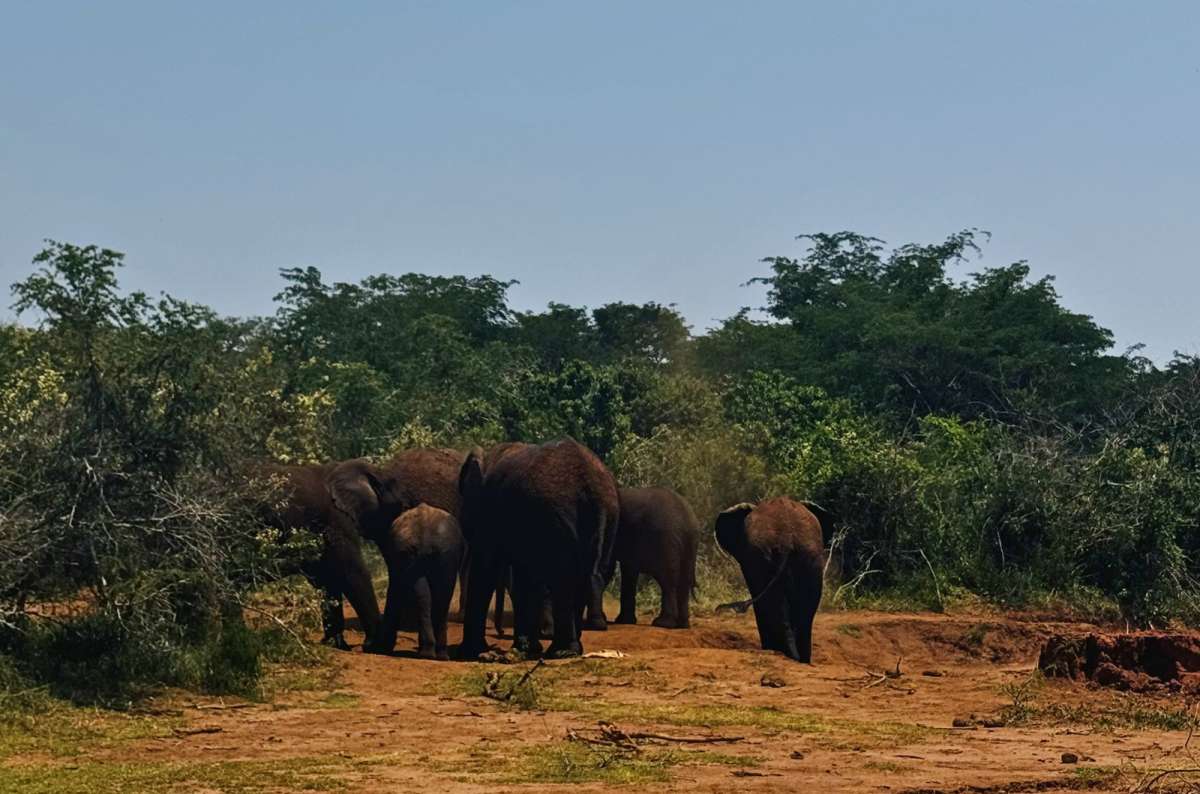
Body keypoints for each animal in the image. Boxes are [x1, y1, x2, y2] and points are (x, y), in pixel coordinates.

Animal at [373, 503, 465, 659]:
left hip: (431, 553)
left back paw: (433, 654)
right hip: (436, 553)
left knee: (434, 596)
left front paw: (382, 649)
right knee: (437, 597)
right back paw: (434, 654)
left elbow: (395, 590)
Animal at [457, 438, 619, 660]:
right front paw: (526, 650)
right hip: (608, 519)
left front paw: (471, 652)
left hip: (555, 514)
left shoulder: (489, 515)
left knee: (564, 578)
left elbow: (486, 569)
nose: (499, 634)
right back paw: (568, 651)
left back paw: (561, 652)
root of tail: (593, 486)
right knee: (588, 575)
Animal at [611, 486, 699, 629]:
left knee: (668, 580)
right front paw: (625, 621)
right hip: (690, 541)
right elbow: (629, 570)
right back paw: (683, 625)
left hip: (664, 538)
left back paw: (663, 623)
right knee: (684, 580)